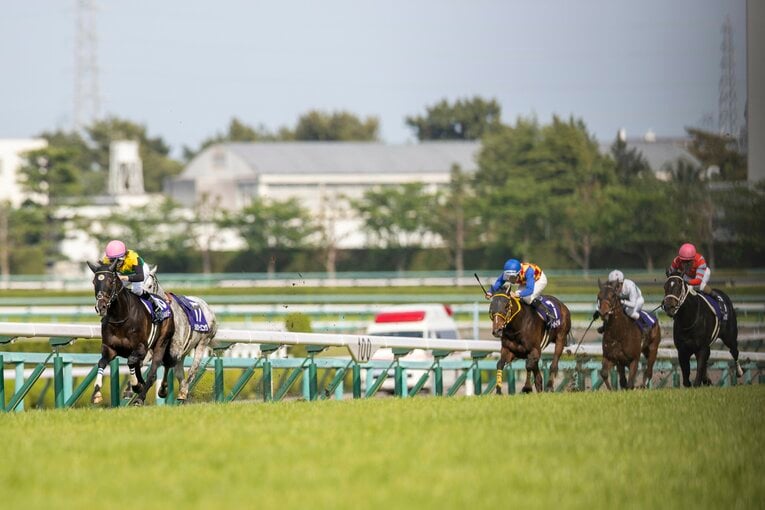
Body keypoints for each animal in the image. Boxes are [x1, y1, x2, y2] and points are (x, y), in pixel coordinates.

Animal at [87, 260, 176, 405]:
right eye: (94, 282)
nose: (101, 307)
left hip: (161, 343)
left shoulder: (141, 347)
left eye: (111, 281)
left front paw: (135, 386)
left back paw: (142, 396)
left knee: (153, 371)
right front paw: (97, 393)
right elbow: (101, 363)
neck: (121, 318)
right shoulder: (110, 348)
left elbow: (131, 361)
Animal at [144, 265, 218, 403]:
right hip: (185, 349)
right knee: (179, 372)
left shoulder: (176, 348)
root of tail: (207, 307)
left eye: (150, 286)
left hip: (202, 343)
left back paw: (183, 391)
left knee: (193, 369)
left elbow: (167, 363)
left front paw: (163, 390)